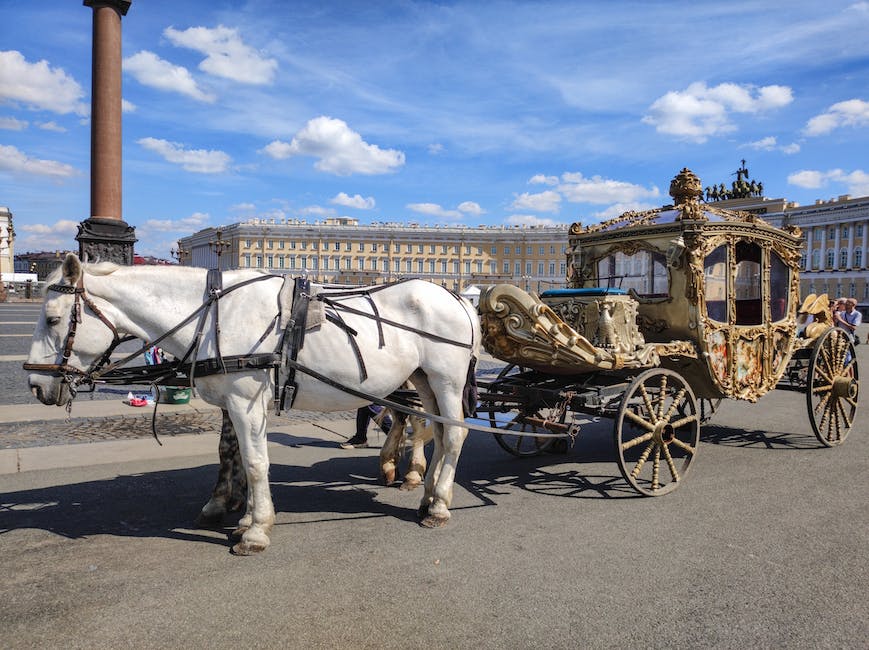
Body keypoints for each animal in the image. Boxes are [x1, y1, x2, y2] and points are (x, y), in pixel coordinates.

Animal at [25, 253, 482, 552]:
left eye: (52, 319)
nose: (34, 385)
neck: (212, 315)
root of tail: (459, 298)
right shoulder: (231, 400)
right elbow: (232, 455)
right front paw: (234, 512)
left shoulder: (246, 401)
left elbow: (257, 461)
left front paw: (256, 529)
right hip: (422, 380)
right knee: (435, 429)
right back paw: (426, 495)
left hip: (445, 379)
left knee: (454, 435)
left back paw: (439, 504)